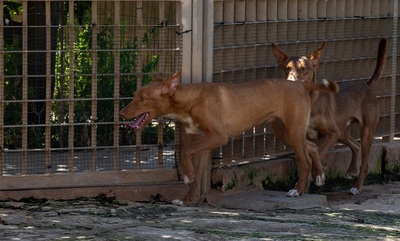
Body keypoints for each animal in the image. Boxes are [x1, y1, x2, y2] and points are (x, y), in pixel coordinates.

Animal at [120, 73, 340, 205]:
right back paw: (319, 176)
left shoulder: (218, 137)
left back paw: (299, 190)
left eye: (143, 98)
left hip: (292, 132)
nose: (121, 114)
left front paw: (187, 175)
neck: (191, 100)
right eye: (135, 95)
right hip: (285, 133)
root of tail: (300, 84)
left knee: (304, 160)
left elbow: (185, 152)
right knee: (311, 147)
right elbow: (195, 172)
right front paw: (187, 198)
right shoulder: (203, 143)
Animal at [274, 38, 386, 195]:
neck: (310, 101)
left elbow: (318, 153)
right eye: (287, 68)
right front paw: (302, 187)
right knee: (355, 145)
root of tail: (367, 84)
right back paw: (351, 171)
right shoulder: (305, 137)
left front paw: (317, 176)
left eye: (304, 69)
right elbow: (307, 159)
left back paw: (357, 187)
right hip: (342, 133)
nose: (291, 82)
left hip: (365, 132)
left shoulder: (332, 133)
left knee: (364, 162)